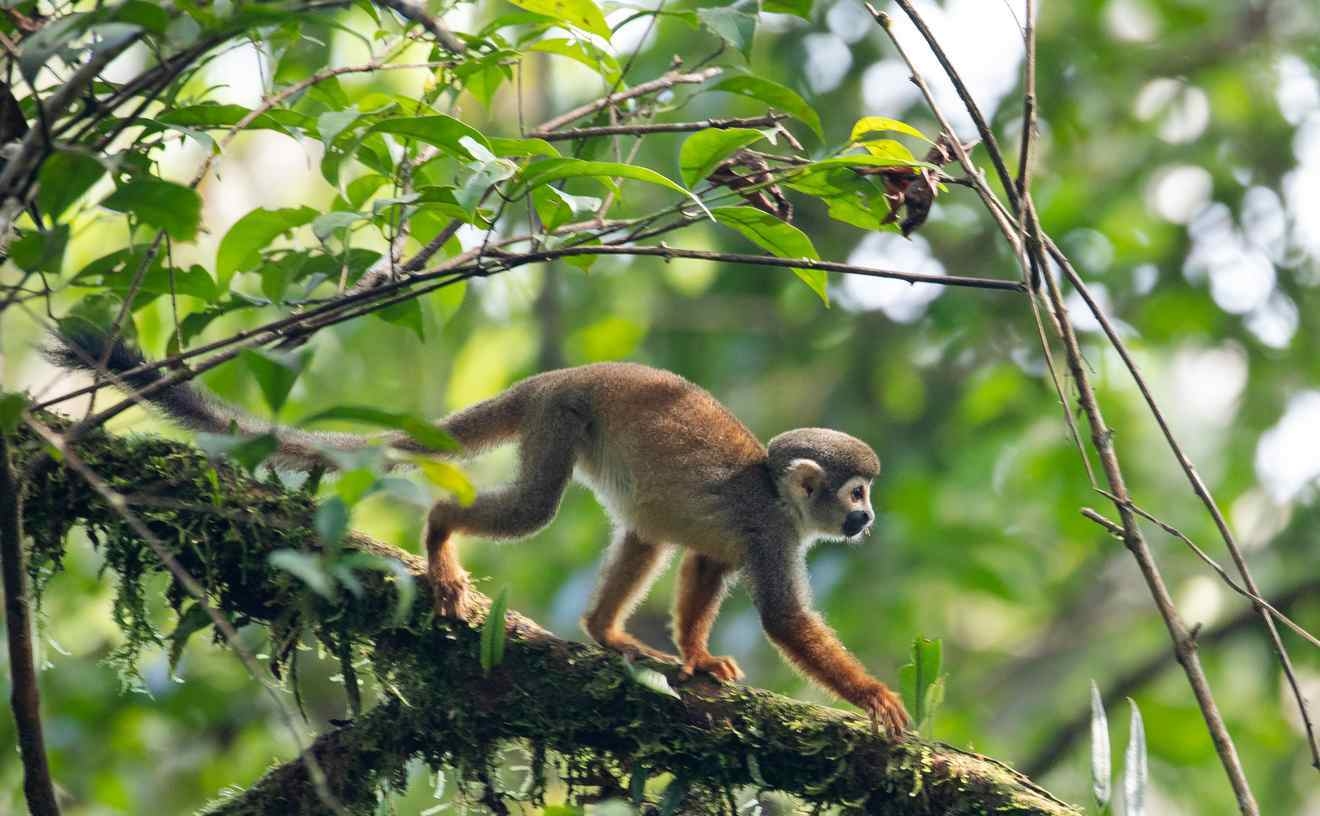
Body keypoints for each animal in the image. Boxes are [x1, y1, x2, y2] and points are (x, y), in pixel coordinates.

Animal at [49, 330, 911, 734]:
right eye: (856, 493)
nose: (866, 519)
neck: (779, 497)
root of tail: (553, 377)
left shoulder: (752, 534)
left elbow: (702, 565)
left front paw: (698, 658)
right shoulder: (771, 531)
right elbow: (784, 619)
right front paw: (873, 696)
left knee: (646, 533)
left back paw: (605, 633)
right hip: (561, 419)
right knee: (535, 508)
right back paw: (438, 537)